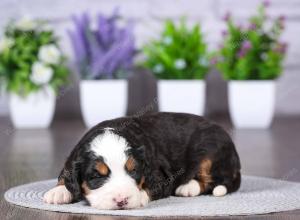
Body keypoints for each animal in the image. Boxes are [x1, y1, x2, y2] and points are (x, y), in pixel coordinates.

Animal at [44, 112, 241, 211]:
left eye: (133, 171)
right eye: (96, 176)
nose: (122, 200)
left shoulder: (161, 175)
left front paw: (139, 197)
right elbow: (66, 175)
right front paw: (58, 192)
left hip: (210, 149)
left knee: (212, 179)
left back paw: (187, 187)